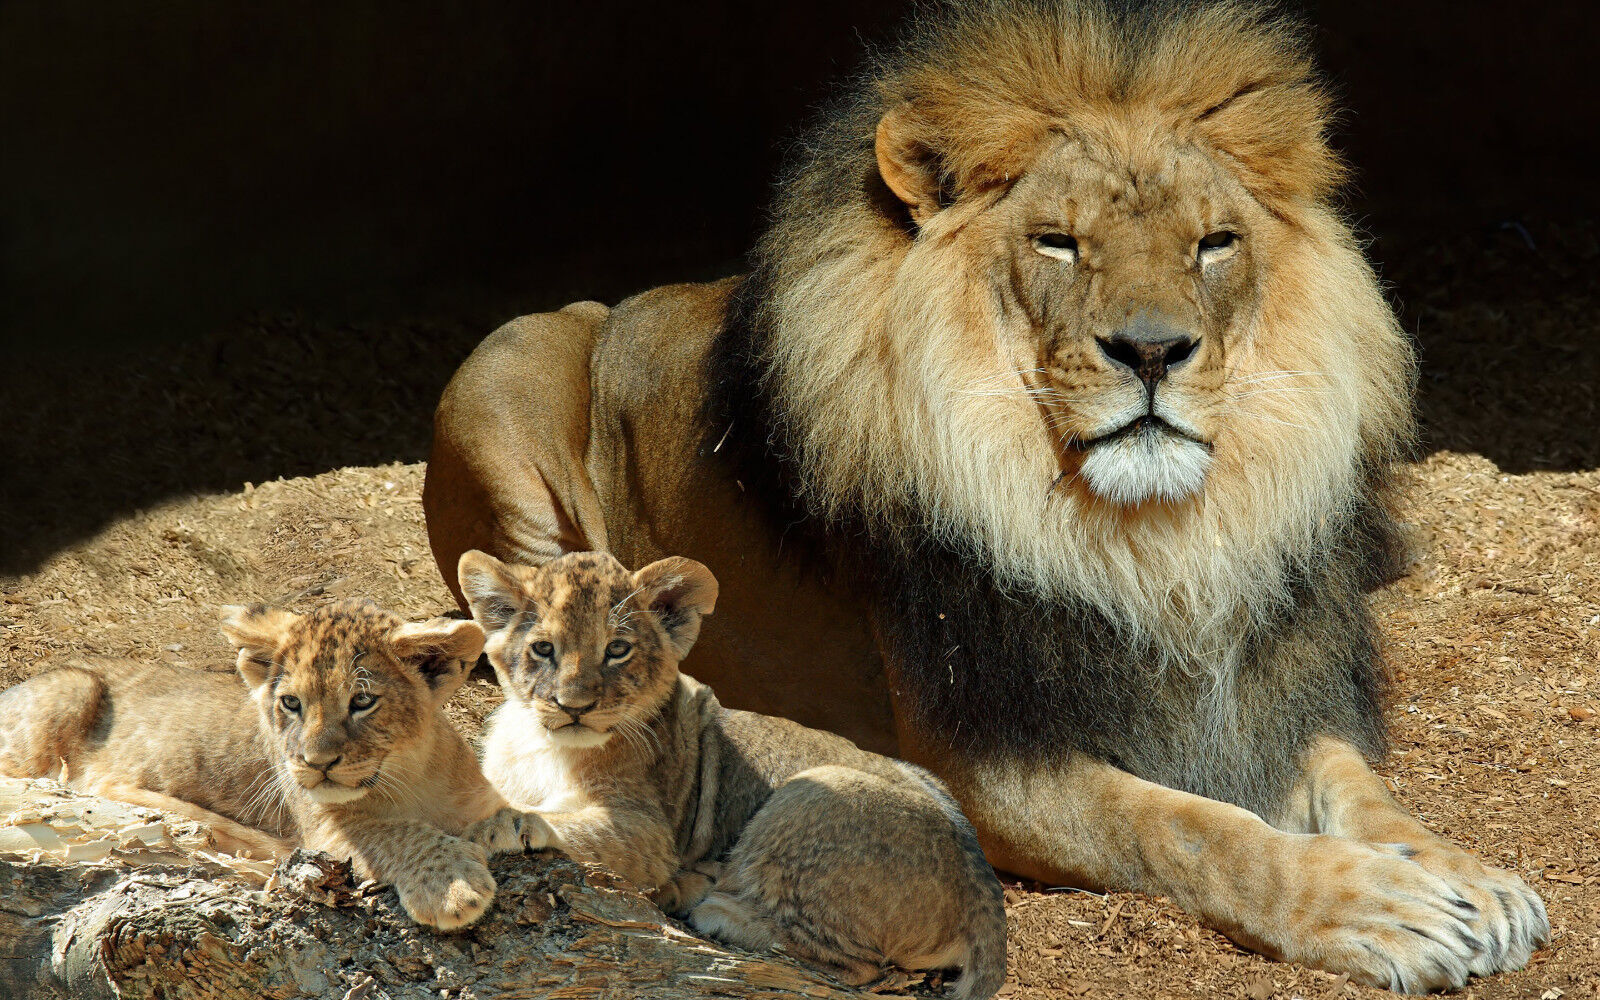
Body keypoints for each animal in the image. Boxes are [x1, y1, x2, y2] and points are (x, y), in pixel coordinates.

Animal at [0, 599, 552, 930]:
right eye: (291, 704)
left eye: (362, 701)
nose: (316, 763)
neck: (410, 776)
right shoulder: (325, 832)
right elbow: (396, 832)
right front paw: (452, 887)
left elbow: (510, 809)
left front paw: (523, 824)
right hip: (71, 687)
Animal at [457, 548, 1007, 998]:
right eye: (543, 648)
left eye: (617, 649)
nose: (574, 707)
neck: (540, 746)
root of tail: (982, 881)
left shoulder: (649, 832)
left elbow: (567, 823)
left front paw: (503, 824)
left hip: (812, 793)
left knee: (859, 966)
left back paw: (706, 904)